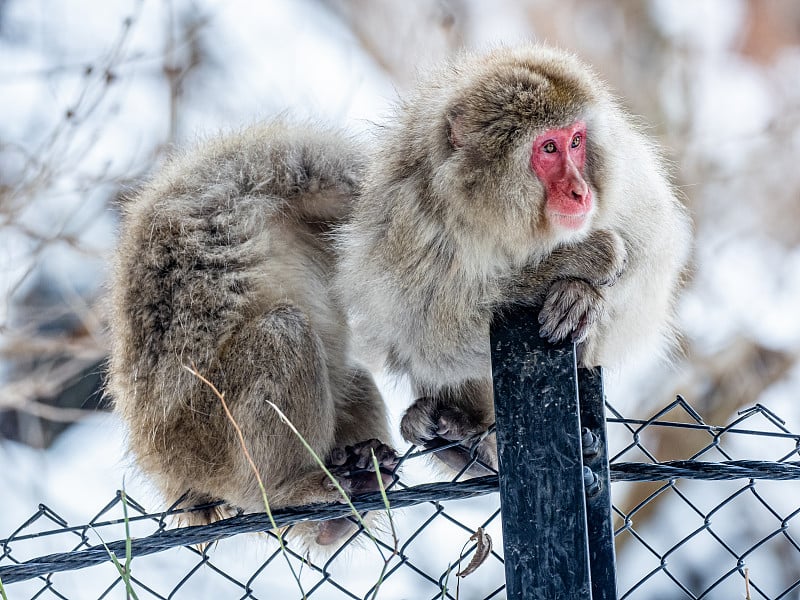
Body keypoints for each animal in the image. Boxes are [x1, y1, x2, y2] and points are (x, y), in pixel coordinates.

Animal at [108, 119, 396, 548]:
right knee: (284, 331)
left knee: (353, 377)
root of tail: (169, 472)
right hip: (207, 436)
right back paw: (283, 490)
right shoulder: (309, 170)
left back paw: (340, 512)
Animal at [334, 44, 692, 472]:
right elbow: (426, 332)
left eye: (576, 141)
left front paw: (580, 296)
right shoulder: (408, 216)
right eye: (548, 148)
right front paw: (577, 260)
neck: (504, 220)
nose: (581, 191)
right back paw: (464, 441)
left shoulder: (626, 180)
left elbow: (650, 255)